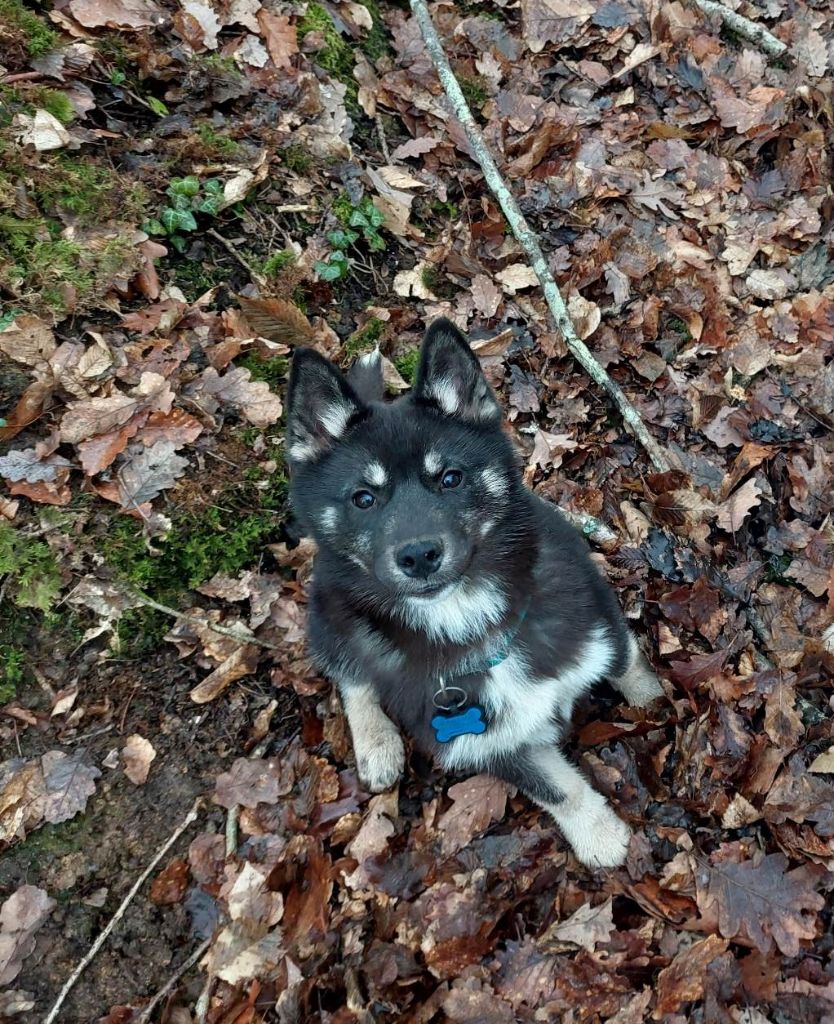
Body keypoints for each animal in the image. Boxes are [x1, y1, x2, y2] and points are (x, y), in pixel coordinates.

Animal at [286, 317, 668, 864]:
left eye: (450, 478)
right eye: (363, 498)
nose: (419, 555)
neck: (472, 621)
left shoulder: (601, 628)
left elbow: (630, 666)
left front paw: (655, 704)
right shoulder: (490, 744)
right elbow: (557, 789)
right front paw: (600, 837)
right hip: (332, 610)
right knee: (349, 670)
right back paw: (377, 743)